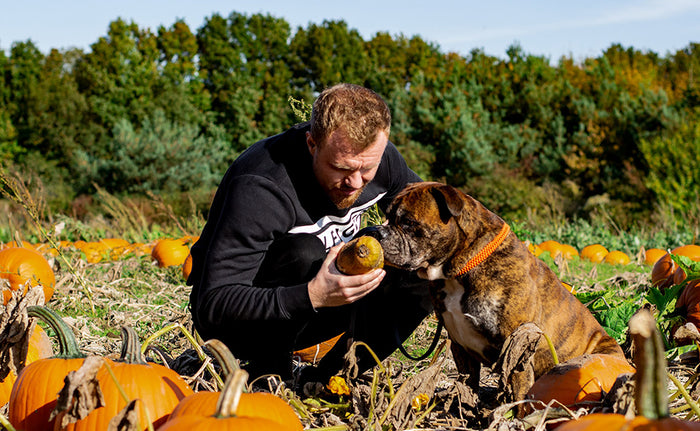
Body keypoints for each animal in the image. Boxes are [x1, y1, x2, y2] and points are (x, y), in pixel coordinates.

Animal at [364, 183, 628, 404]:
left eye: (408, 222)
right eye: (387, 217)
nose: (375, 231)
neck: (461, 268)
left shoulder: (518, 347)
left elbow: (519, 392)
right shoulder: (460, 346)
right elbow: (468, 383)